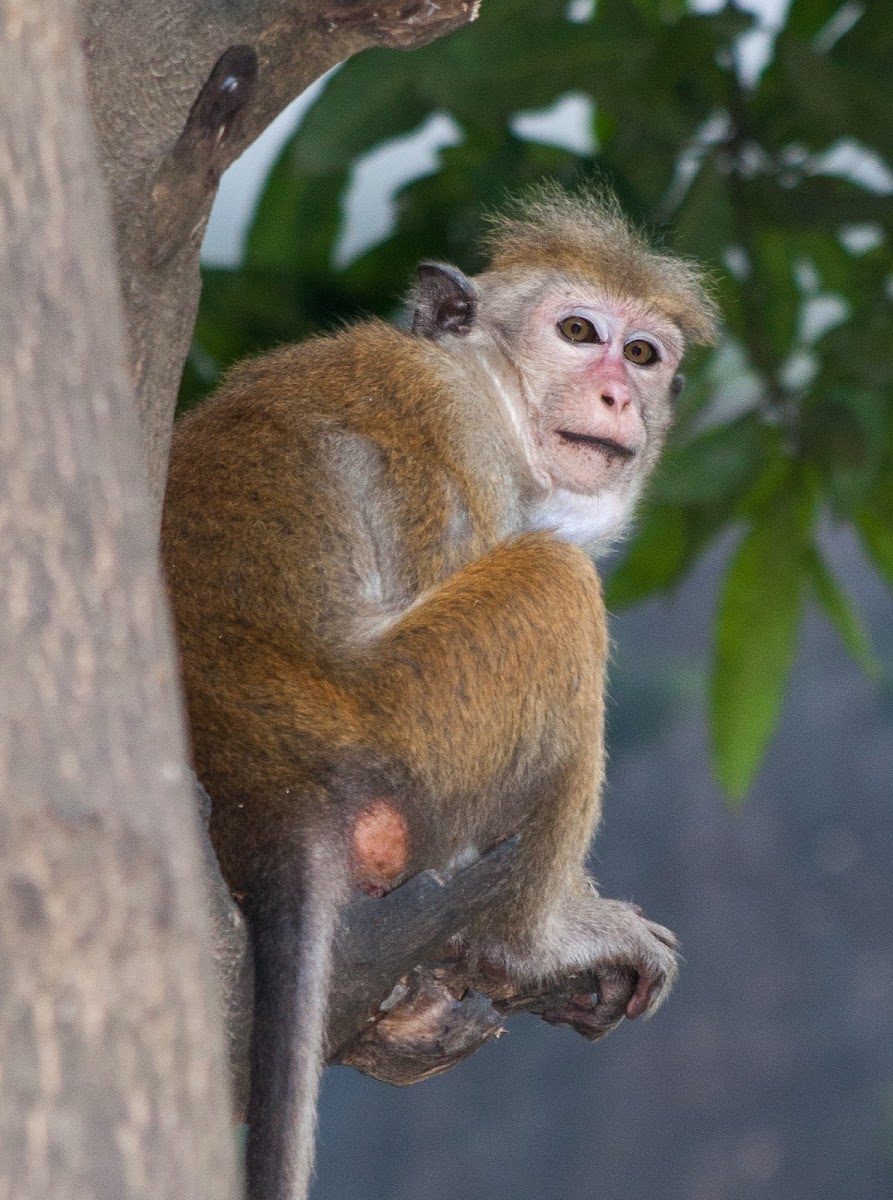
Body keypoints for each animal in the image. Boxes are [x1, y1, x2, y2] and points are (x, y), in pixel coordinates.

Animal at [160, 187, 720, 1200]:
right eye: (577, 332)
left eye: (642, 353)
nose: (618, 394)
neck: (489, 388)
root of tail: (265, 788)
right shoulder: (452, 434)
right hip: (406, 725)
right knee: (556, 580)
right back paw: (530, 941)